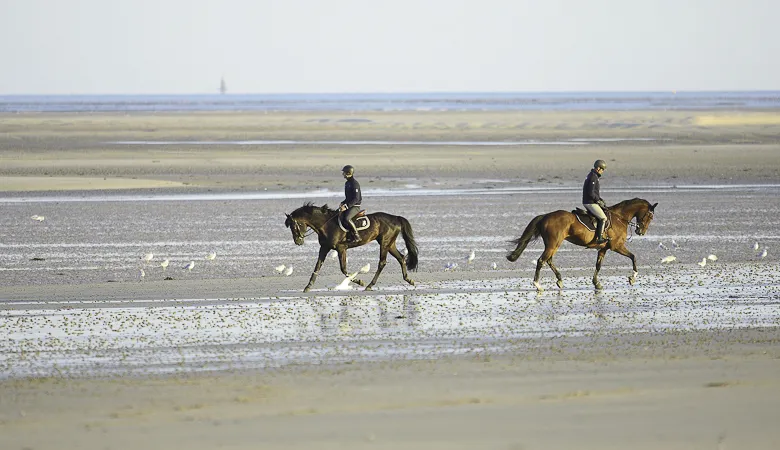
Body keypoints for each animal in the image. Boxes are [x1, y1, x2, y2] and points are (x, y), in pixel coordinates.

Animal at [285, 202, 419, 292]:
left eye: (294, 226)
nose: (298, 241)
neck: (327, 225)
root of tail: (395, 217)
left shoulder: (341, 249)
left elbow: (343, 269)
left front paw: (360, 281)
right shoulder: (324, 248)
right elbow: (317, 266)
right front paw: (308, 286)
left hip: (384, 243)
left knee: (382, 262)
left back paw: (370, 285)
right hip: (390, 244)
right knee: (401, 258)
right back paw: (408, 279)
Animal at [506, 198, 657, 291]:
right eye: (650, 216)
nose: (641, 231)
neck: (619, 218)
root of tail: (546, 216)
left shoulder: (604, 249)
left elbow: (598, 265)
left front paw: (596, 283)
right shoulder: (617, 246)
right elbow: (633, 257)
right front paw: (633, 277)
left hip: (553, 245)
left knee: (548, 260)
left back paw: (559, 280)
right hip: (553, 244)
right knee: (541, 260)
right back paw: (538, 285)